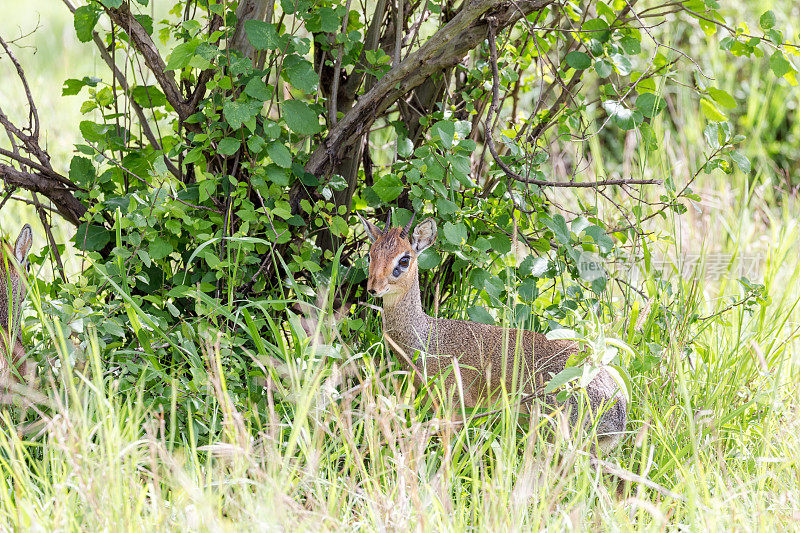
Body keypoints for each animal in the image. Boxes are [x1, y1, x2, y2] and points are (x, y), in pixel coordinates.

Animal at [360, 212, 628, 448]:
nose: (373, 288)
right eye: (371, 255)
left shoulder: (454, 408)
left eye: (404, 259)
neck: (427, 337)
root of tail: (619, 406)